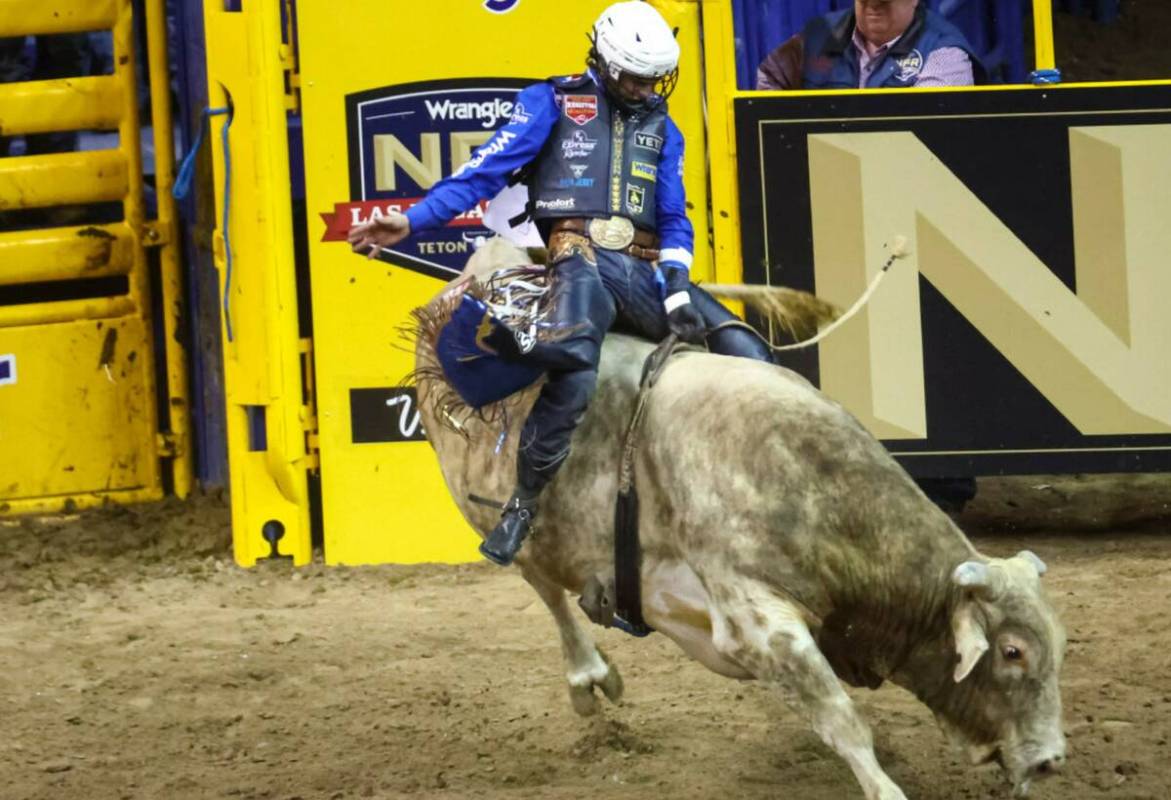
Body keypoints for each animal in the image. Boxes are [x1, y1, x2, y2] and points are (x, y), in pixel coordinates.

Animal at [407, 238, 1067, 800]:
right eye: (1012, 651)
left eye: (1057, 644)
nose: (1051, 760)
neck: (808, 487)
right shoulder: (757, 624)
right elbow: (842, 719)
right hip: (490, 512)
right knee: (539, 579)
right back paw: (587, 675)